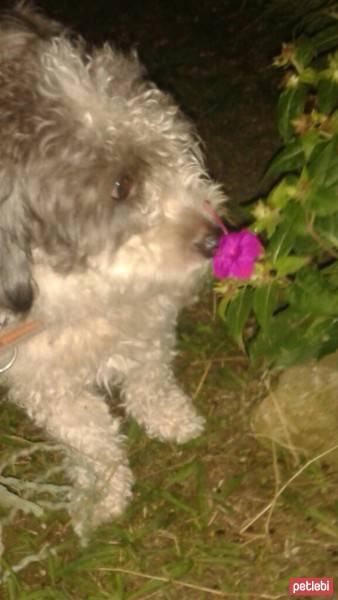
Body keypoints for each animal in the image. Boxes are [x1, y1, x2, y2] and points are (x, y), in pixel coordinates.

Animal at [0, 2, 226, 532]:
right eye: (121, 186)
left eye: (174, 149)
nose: (215, 238)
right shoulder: (43, 379)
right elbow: (91, 435)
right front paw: (104, 493)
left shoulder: (147, 325)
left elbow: (151, 379)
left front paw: (172, 419)